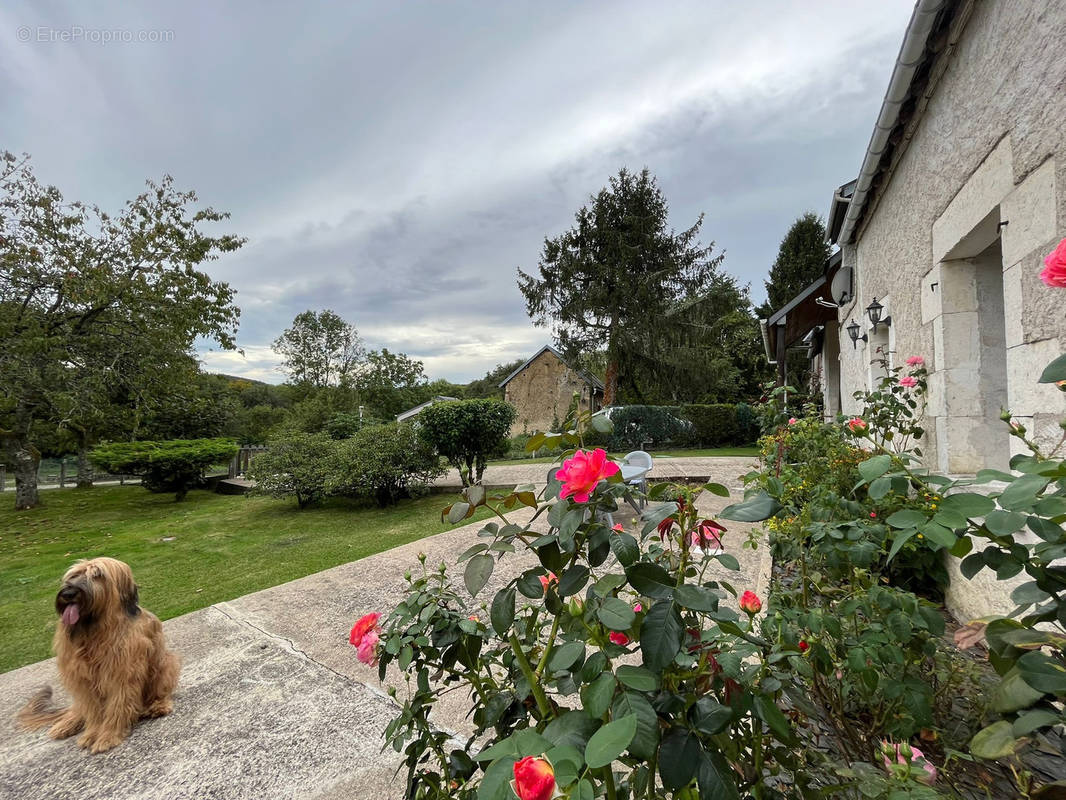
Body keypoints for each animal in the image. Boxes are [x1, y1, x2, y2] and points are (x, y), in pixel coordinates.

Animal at [17, 558, 180, 755]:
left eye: (98, 575)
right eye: (73, 575)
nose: (69, 593)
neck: (94, 630)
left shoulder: (121, 674)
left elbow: (117, 705)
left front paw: (108, 736)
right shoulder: (81, 678)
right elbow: (92, 711)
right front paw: (91, 734)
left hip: (167, 664)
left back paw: (158, 706)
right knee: (78, 710)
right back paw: (66, 724)